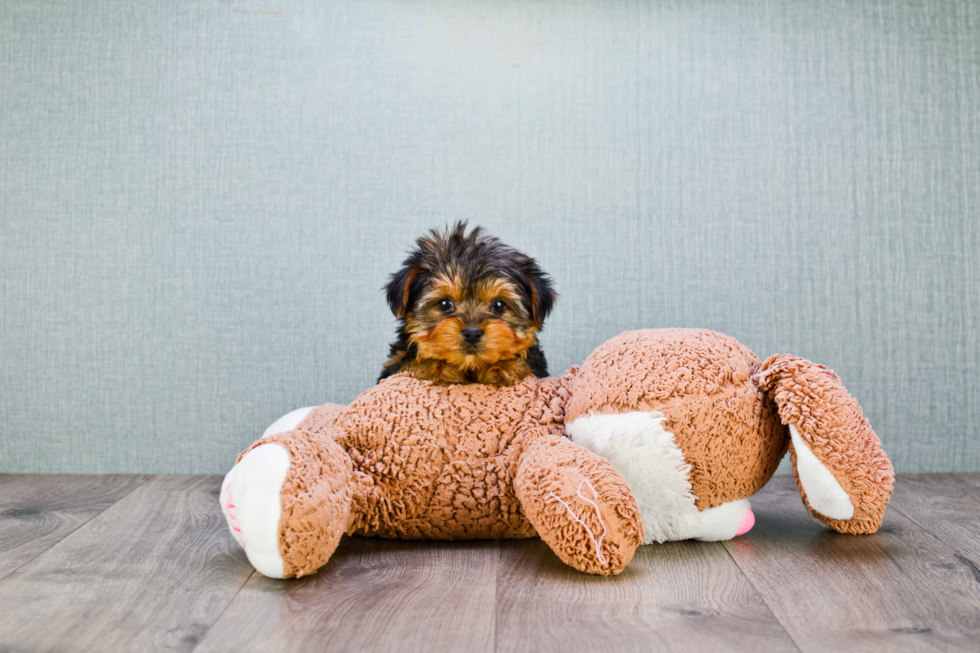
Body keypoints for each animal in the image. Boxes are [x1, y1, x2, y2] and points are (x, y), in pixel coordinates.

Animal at [378, 222, 556, 384]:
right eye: (444, 304)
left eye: (499, 305)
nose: (472, 332)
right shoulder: (393, 366)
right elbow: (408, 361)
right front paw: (435, 367)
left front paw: (503, 366)